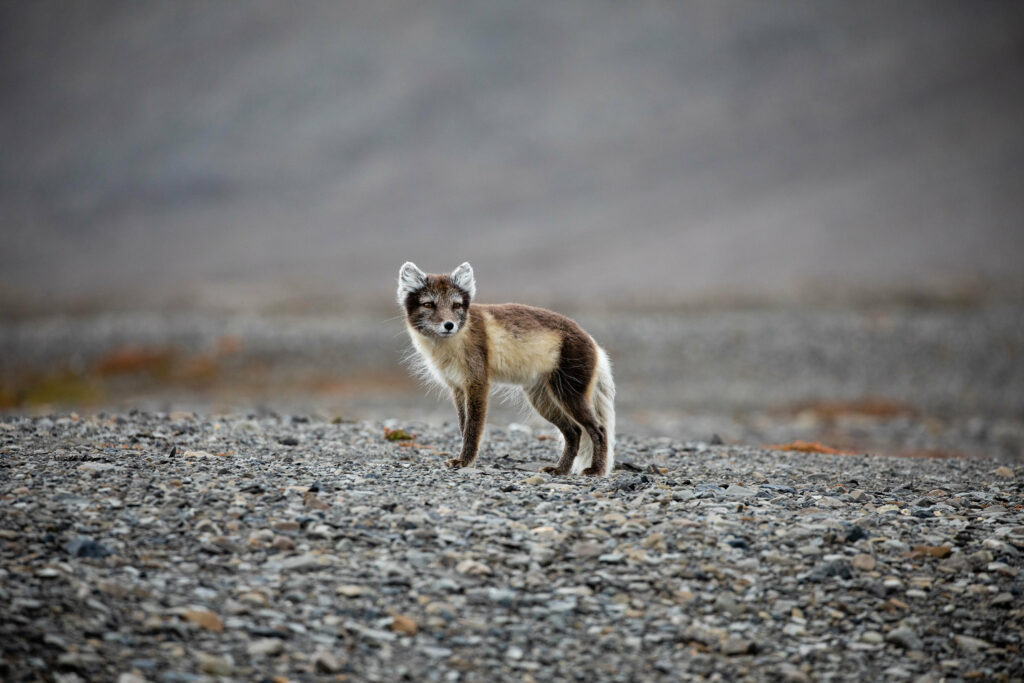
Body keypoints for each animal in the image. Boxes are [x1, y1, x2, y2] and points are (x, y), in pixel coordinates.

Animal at [397, 261, 615, 476]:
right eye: (428, 304)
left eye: (456, 305)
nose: (449, 325)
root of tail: (593, 342)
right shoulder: (457, 387)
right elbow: (463, 425)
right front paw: (465, 459)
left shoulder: (477, 383)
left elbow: (472, 429)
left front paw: (464, 461)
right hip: (542, 400)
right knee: (574, 432)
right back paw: (560, 469)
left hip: (569, 395)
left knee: (599, 430)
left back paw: (596, 470)